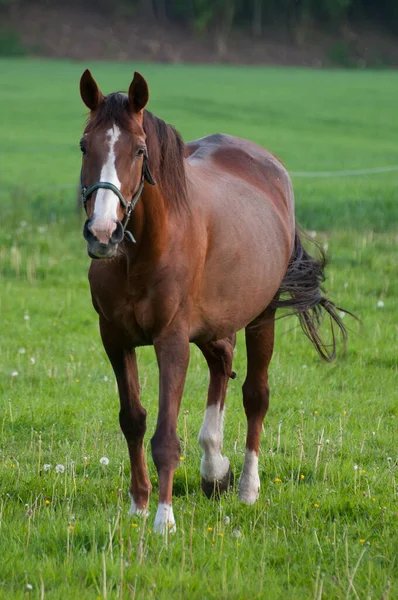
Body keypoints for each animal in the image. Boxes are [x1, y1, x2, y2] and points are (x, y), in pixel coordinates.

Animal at [78, 68, 348, 532]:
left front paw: (163, 520)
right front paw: (139, 504)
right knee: (222, 365)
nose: (102, 232)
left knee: (255, 395)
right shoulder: (114, 339)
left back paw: (246, 488)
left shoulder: (171, 341)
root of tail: (270, 167)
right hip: (212, 324)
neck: (143, 251)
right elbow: (133, 420)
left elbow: (165, 437)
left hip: (261, 316)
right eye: (84, 145)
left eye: (139, 150)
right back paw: (214, 468)